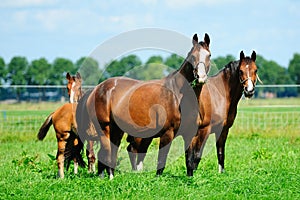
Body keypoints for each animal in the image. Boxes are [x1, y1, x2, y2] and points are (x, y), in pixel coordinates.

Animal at [76, 32, 212, 180]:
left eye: (209, 55)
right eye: (192, 56)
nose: (200, 77)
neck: (178, 95)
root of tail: (96, 89)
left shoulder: (190, 134)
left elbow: (189, 161)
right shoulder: (167, 134)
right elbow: (161, 161)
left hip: (116, 130)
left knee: (111, 151)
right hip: (104, 128)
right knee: (106, 151)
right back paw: (109, 177)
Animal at [126, 50, 258, 176]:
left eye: (255, 70)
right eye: (240, 71)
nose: (249, 91)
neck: (220, 94)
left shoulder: (223, 130)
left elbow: (220, 153)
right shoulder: (204, 130)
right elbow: (197, 155)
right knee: (133, 149)